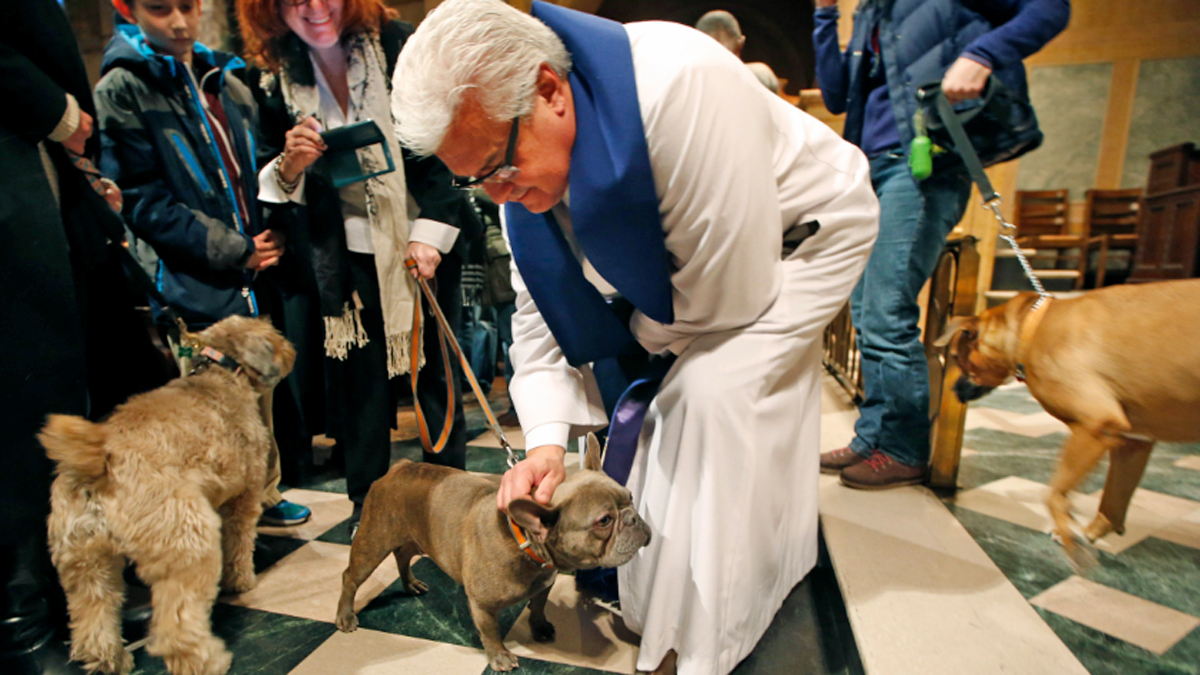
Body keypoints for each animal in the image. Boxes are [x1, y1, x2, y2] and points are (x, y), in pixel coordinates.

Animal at [39, 314, 292, 672]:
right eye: (272, 333)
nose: (289, 348)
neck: (220, 373)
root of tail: (97, 464)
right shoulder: (242, 499)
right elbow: (239, 544)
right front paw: (240, 580)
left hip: (85, 563)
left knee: (93, 621)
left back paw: (112, 660)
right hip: (187, 543)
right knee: (177, 626)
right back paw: (206, 661)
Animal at [338, 429, 652, 667]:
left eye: (631, 497)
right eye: (604, 521)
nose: (633, 518)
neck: (525, 545)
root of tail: (399, 466)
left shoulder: (544, 585)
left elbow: (538, 607)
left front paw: (539, 626)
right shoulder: (482, 604)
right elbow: (489, 631)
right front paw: (499, 656)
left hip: (414, 538)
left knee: (402, 556)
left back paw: (410, 583)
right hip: (371, 544)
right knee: (350, 577)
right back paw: (345, 615)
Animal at [936, 279, 1200, 557]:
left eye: (958, 358)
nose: (953, 389)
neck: (1032, 325)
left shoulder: (1095, 425)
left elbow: (1055, 493)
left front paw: (1071, 537)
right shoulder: (1134, 444)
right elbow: (1112, 503)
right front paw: (1088, 533)